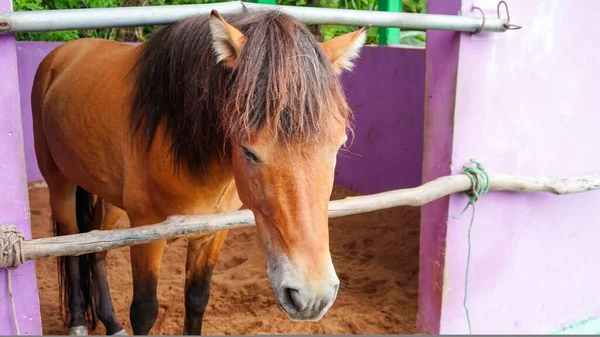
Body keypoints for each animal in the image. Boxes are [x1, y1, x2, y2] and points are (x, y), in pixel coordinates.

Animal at [31, 7, 370, 334]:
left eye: (338, 145)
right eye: (248, 150)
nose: (312, 296)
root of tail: (62, 53)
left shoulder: (213, 233)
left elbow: (196, 299)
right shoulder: (147, 236)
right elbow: (144, 311)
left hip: (110, 197)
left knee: (96, 246)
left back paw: (112, 323)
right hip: (60, 184)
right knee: (72, 245)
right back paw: (77, 321)